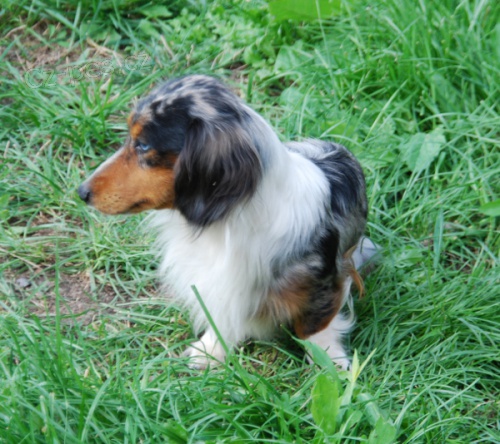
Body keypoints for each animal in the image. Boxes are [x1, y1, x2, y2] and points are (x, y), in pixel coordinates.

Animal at [78, 74, 376, 370]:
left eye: (143, 145)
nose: (81, 192)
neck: (226, 224)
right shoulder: (217, 282)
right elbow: (221, 316)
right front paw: (209, 351)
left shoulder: (324, 280)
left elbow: (314, 327)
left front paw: (331, 365)